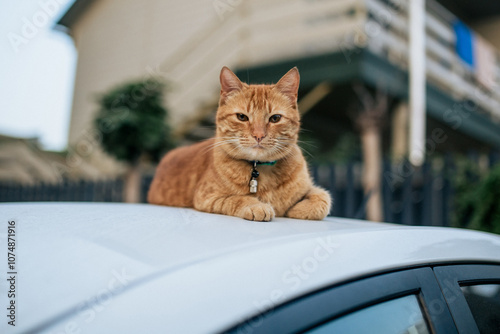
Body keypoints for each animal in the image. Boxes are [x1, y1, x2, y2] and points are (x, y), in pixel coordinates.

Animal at [147, 66, 332, 220]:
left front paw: (295, 209)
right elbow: (237, 199)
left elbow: (323, 199)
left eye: (275, 118)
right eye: (242, 117)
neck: (260, 169)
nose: (258, 135)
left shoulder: (311, 189)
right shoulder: (206, 197)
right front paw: (259, 206)